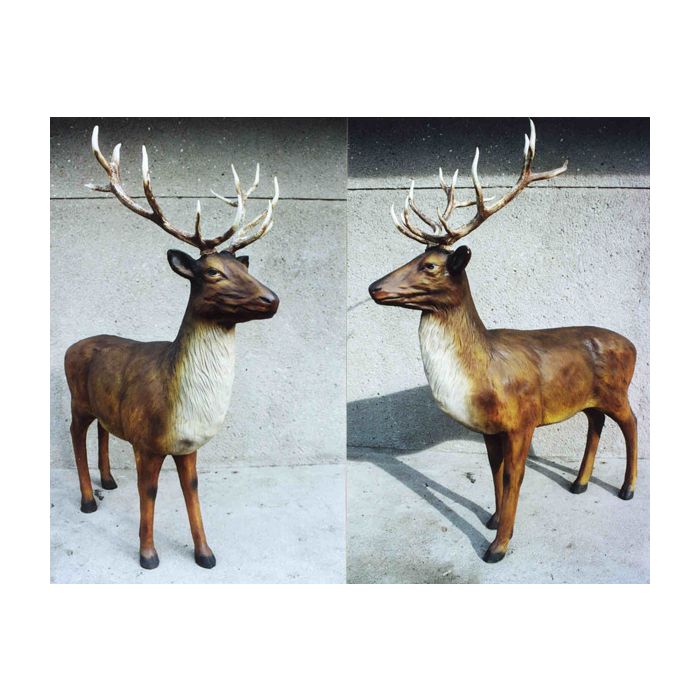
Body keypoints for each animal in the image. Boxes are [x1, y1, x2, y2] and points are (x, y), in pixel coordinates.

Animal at [64, 126, 280, 570]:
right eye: (212, 272)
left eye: (244, 266)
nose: (272, 299)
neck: (182, 406)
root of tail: (70, 348)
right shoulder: (147, 442)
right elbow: (149, 493)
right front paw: (148, 555)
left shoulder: (188, 446)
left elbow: (192, 490)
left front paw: (205, 553)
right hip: (77, 398)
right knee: (75, 433)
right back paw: (89, 499)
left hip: (105, 406)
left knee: (103, 432)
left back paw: (108, 481)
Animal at [368, 120, 638, 564]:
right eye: (412, 257)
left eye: (429, 266)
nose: (374, 287)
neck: (481, 375)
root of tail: (634, 346)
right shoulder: (490, 428)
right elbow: (494, 473)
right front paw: (493, 520)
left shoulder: (522, 421)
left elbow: (514, 476)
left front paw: (498, 546)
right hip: (590, 396)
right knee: (595, 422)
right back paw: (579, 483)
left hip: (618, 390)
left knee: (632, 422)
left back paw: (627, 489)